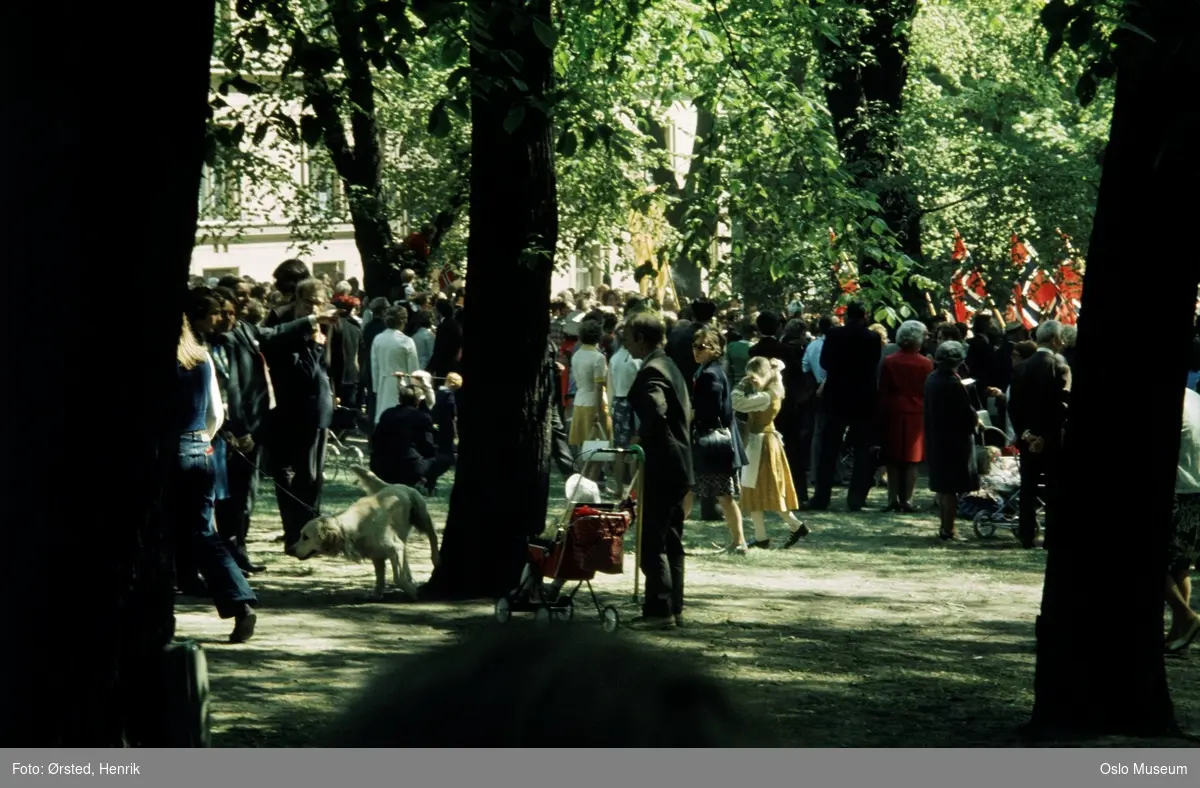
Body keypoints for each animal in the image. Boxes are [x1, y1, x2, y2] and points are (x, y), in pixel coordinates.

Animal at [292, 462, 444, 599]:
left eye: (305, 537)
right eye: (301, 535)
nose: (290, 550)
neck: (356, 527)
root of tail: (393, 485)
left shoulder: (394, 548)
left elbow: (398, 578)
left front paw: (413, 592)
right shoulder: (377, 555)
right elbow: (380, 576)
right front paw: (377, 594)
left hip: (421, 516)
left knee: (433, 535)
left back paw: (436, 558)